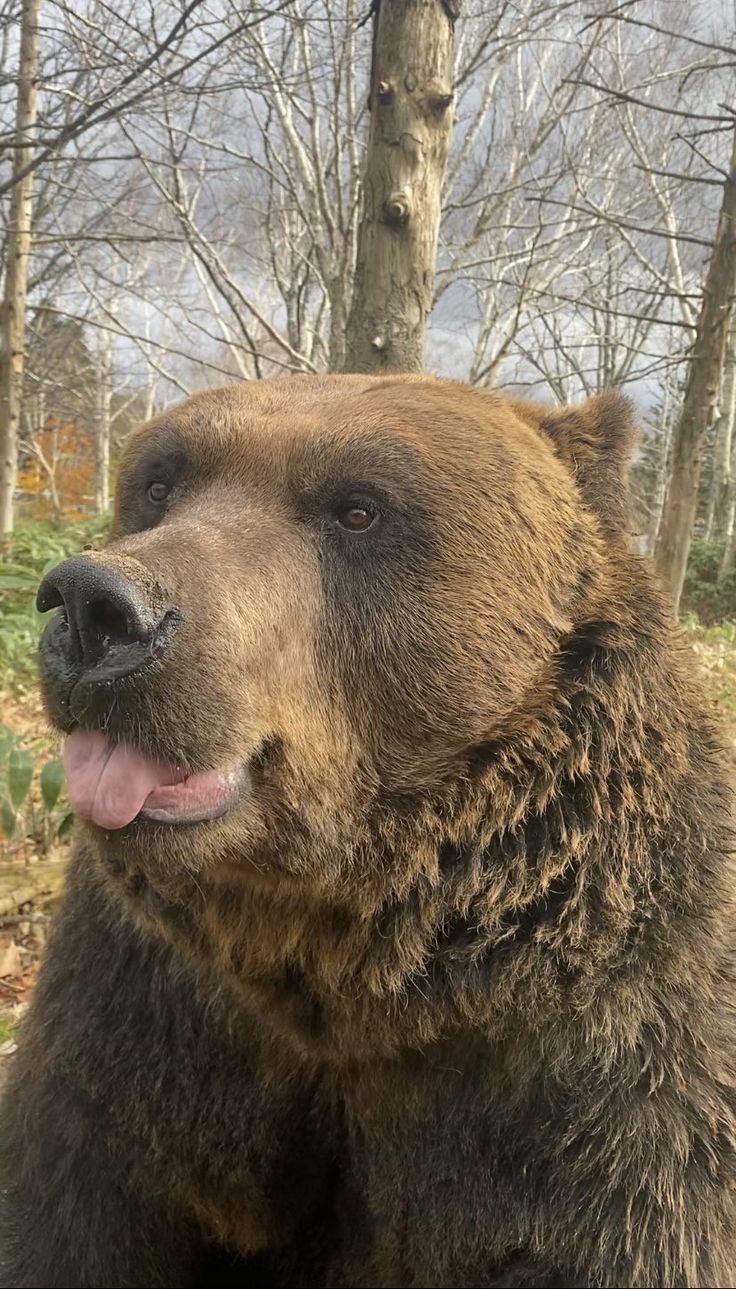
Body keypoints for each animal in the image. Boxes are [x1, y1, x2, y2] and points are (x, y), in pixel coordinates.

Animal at [1, 376, 736, 1289]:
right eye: (160, 482)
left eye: (358, 508)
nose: (96, 606)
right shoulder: (144, 1013)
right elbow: (71, 1195)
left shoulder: (606, 1077)